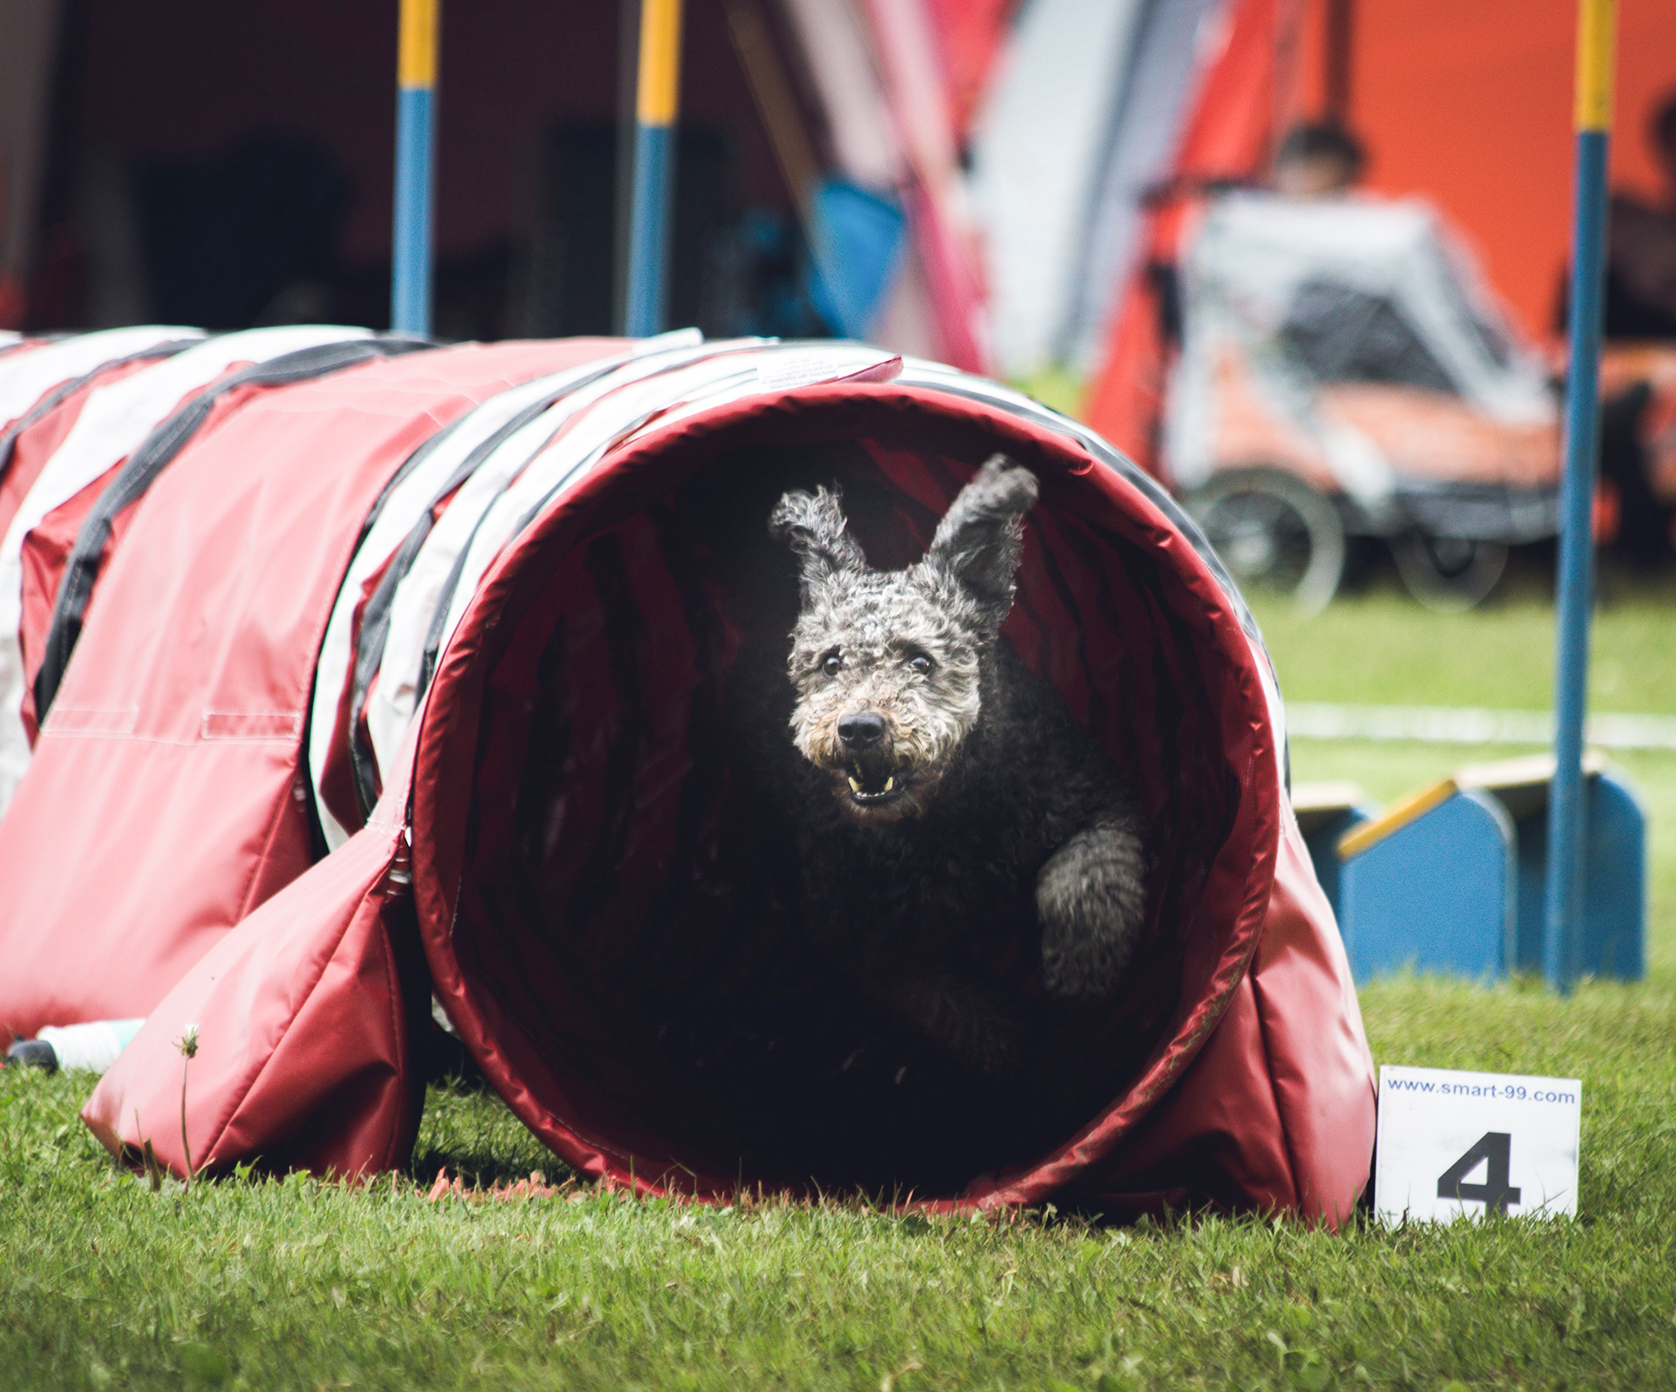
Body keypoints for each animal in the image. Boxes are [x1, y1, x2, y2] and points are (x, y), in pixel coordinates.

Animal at [767, 455, 1146, 1078]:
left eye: (922, 661)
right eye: (832, 662)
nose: (860, 728)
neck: (946, 814)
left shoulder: (1096, 798)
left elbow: (1083, 877)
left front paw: (1081, 974)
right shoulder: (857, 932)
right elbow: (938, 1001)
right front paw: (1009, 1040)